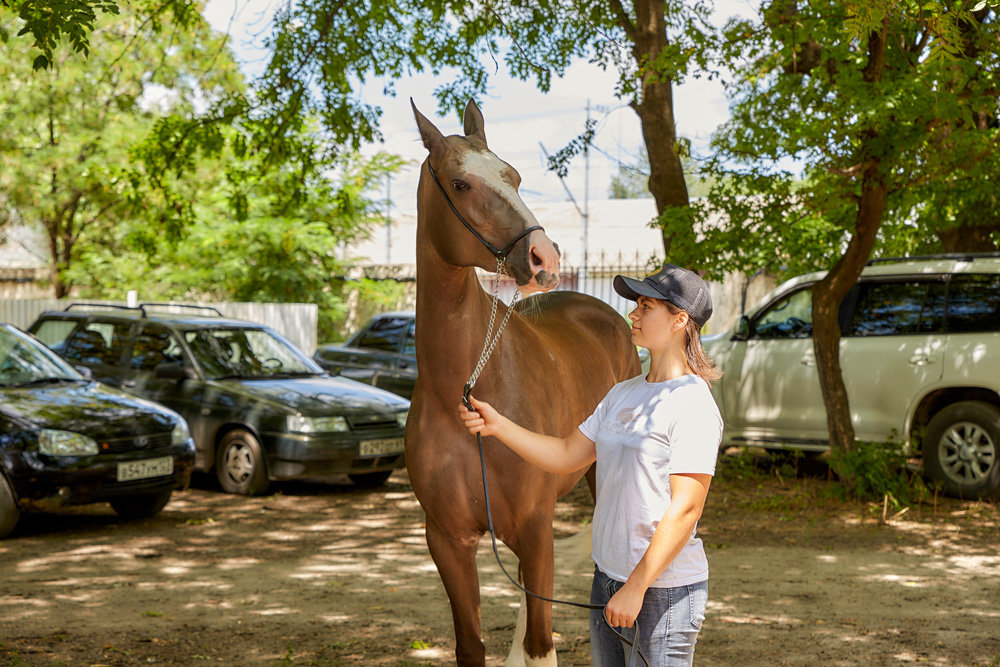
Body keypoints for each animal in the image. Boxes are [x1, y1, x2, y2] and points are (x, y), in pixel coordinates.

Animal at [406, 100, 640, 667]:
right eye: (461, 183)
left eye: (512, 175)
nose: (545, 258)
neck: (466, 390)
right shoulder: (447, 540)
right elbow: (473, 645)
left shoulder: (535, 531)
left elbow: (541, 645)